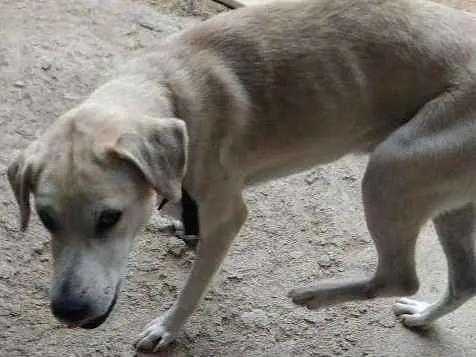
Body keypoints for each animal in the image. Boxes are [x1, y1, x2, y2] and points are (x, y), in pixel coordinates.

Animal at [6, 0, 476, 350]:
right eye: (45, 219)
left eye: (109, 218)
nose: (67, 312)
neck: (168, 92)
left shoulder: (228, 216)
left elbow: (194, 286)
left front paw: (168, 328)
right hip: (445, 202)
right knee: (463, 282)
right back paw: (423, 314)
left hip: (390, 169)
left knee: (401, 276)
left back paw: (313, 295)